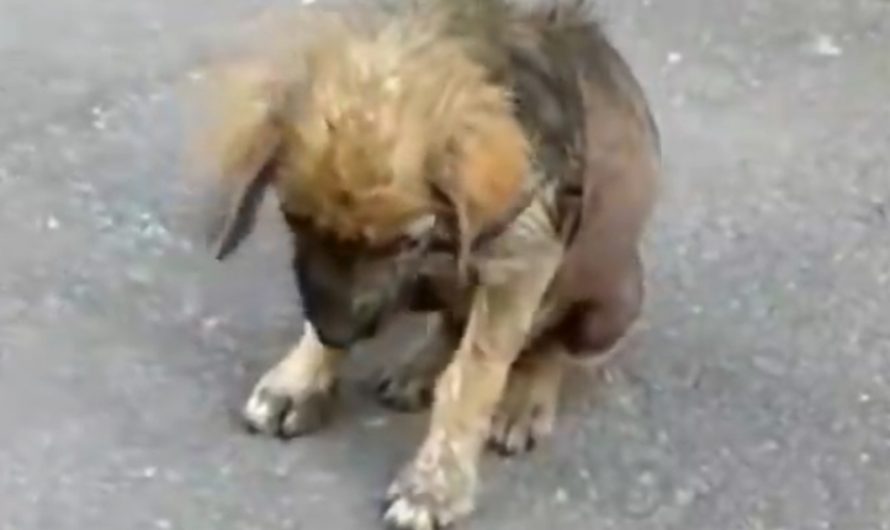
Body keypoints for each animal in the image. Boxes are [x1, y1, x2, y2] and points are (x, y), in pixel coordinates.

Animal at [189, 2, 660, 524]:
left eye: (403, 242)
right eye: (294, 219)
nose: (338, 334)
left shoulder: (521, 265)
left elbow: (473, 377)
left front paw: (434, 487)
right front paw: (300, 380)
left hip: (610, 302)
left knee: (547, 348)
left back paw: (523, 400)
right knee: (451, 323)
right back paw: (418, 368)